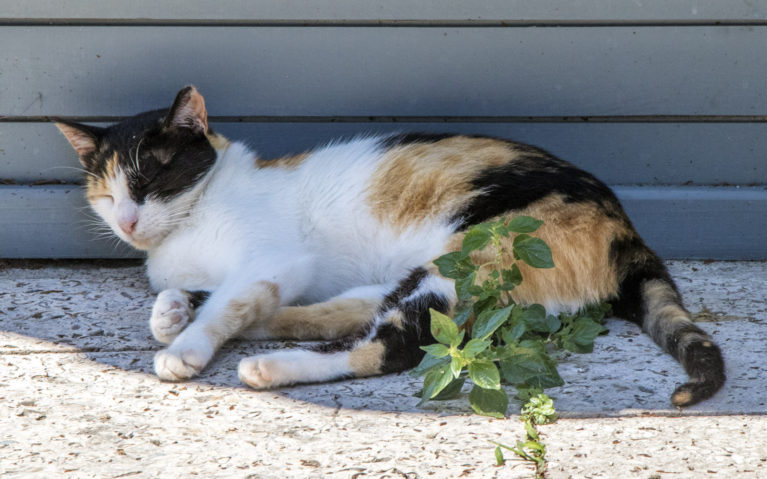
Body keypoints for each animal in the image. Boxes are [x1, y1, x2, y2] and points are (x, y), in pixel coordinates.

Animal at [55, 85, 728, 404]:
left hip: (470, 256)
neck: (189, 227)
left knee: (391, 346)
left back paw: (269, 365)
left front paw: (186, 347)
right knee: (347, 310)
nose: (127, 223)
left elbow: (232, 301)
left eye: (148, 180)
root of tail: (625, 229)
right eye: (105, 193)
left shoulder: (274, 259)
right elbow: (218, 296)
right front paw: (172, 310)